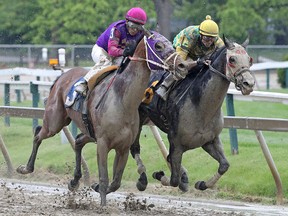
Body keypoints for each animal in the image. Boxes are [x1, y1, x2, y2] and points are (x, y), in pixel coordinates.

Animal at [15, 30, 188, 206]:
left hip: (89, 132)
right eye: (158, 46)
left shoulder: (122, 146)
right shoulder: (103, 143)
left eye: (171, 44)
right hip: (55, 122)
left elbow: (116, 181)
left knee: (78, 140)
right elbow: (104, 178)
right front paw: (103, 205)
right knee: (38, 133)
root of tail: (63, 75)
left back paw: (74, 181)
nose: (182, 65)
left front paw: (96, 187)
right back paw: (25, 168)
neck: (122, 99)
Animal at [130, 35, 254, 192]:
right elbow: (174, 180)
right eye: (232, 59)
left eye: (249, 59)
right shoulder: (176, 143)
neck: (201, 108)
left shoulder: (209, 140)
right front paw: (160, 175)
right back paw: (142, 179)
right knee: (134, 148)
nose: (249, 84)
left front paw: (202, 184)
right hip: (138, 118)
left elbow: (224, 165)